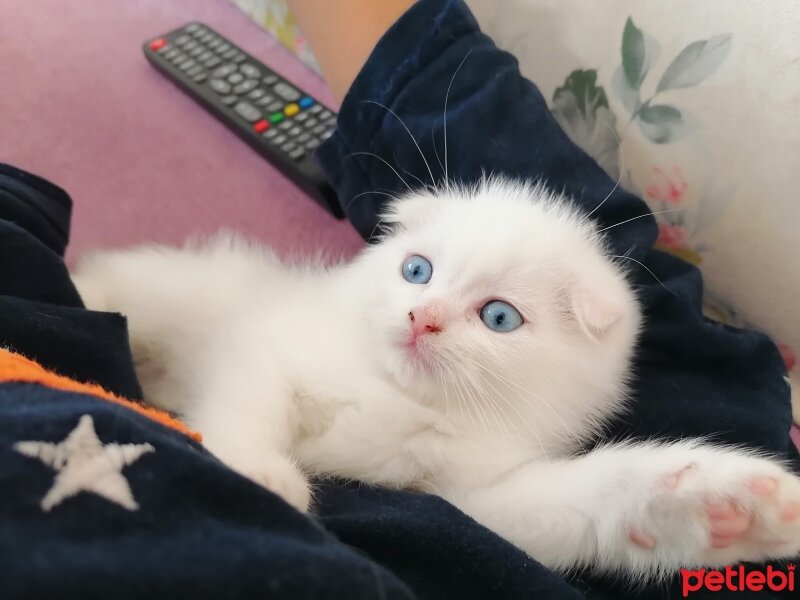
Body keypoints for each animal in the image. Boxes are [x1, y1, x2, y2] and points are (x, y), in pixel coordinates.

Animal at [73, 179, 800, 580]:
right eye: (416, 271)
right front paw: (259, 472)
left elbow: (540, 516)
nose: (422, 318)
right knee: (107, 287)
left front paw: (719, 507)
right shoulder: (268, 340)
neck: (393, 393)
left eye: (499, 317)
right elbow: (248, 395)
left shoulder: (467, 494)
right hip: (163, 289)